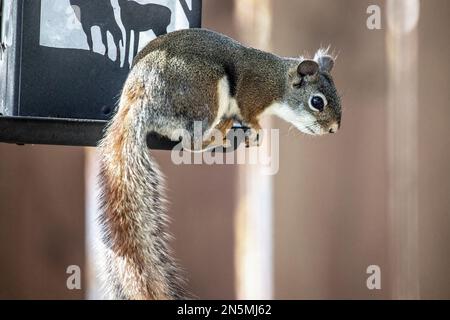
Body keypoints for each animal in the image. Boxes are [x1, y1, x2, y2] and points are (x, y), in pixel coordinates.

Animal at [96, 28, 340, 300]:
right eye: (317, 102)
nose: (333, 128)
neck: (278, 82)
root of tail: (138, 98)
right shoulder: (251, 93)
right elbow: (249, 115)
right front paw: (256, 129)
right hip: (204, 90)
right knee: (192, 141)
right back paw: (218, 133)